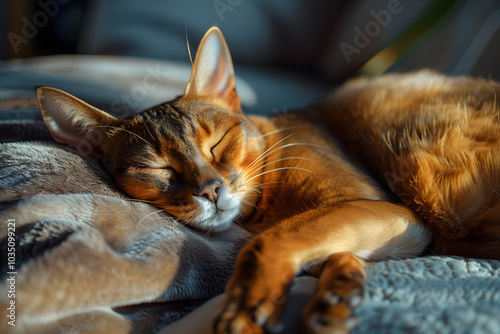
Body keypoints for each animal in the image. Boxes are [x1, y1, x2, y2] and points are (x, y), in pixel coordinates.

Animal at [36, 26, 500, 334]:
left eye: (217, 144)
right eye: (157, 168)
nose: (210, 189)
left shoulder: (393, 212)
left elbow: (268, 242)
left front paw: (246, 305)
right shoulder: (392, 230)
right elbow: (324, 249)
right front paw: (337, 295)